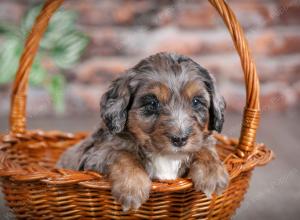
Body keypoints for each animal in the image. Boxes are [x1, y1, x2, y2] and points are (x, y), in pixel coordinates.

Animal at [57, 52, 229, 211]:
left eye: (196, 101)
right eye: (152, 103)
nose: (180, 139)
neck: (165, 156)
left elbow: (204, 147)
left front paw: (212, 173)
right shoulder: (95, 155)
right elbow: (121, 153)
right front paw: (132, 187)